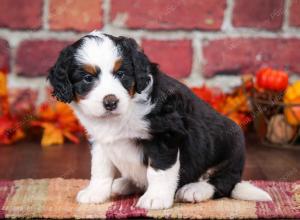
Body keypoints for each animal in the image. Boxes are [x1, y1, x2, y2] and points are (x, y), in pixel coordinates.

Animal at [48, 31, 270, 210]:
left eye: (121, 74)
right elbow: (100, 169)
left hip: (232, 144)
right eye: (87, 78)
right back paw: (125, 183)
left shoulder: (165, 134)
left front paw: (156, 198)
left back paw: (195, 189)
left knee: (224, 182)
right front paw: (95, 193)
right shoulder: (100, 140)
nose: (110, 101)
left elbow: (159, 171)